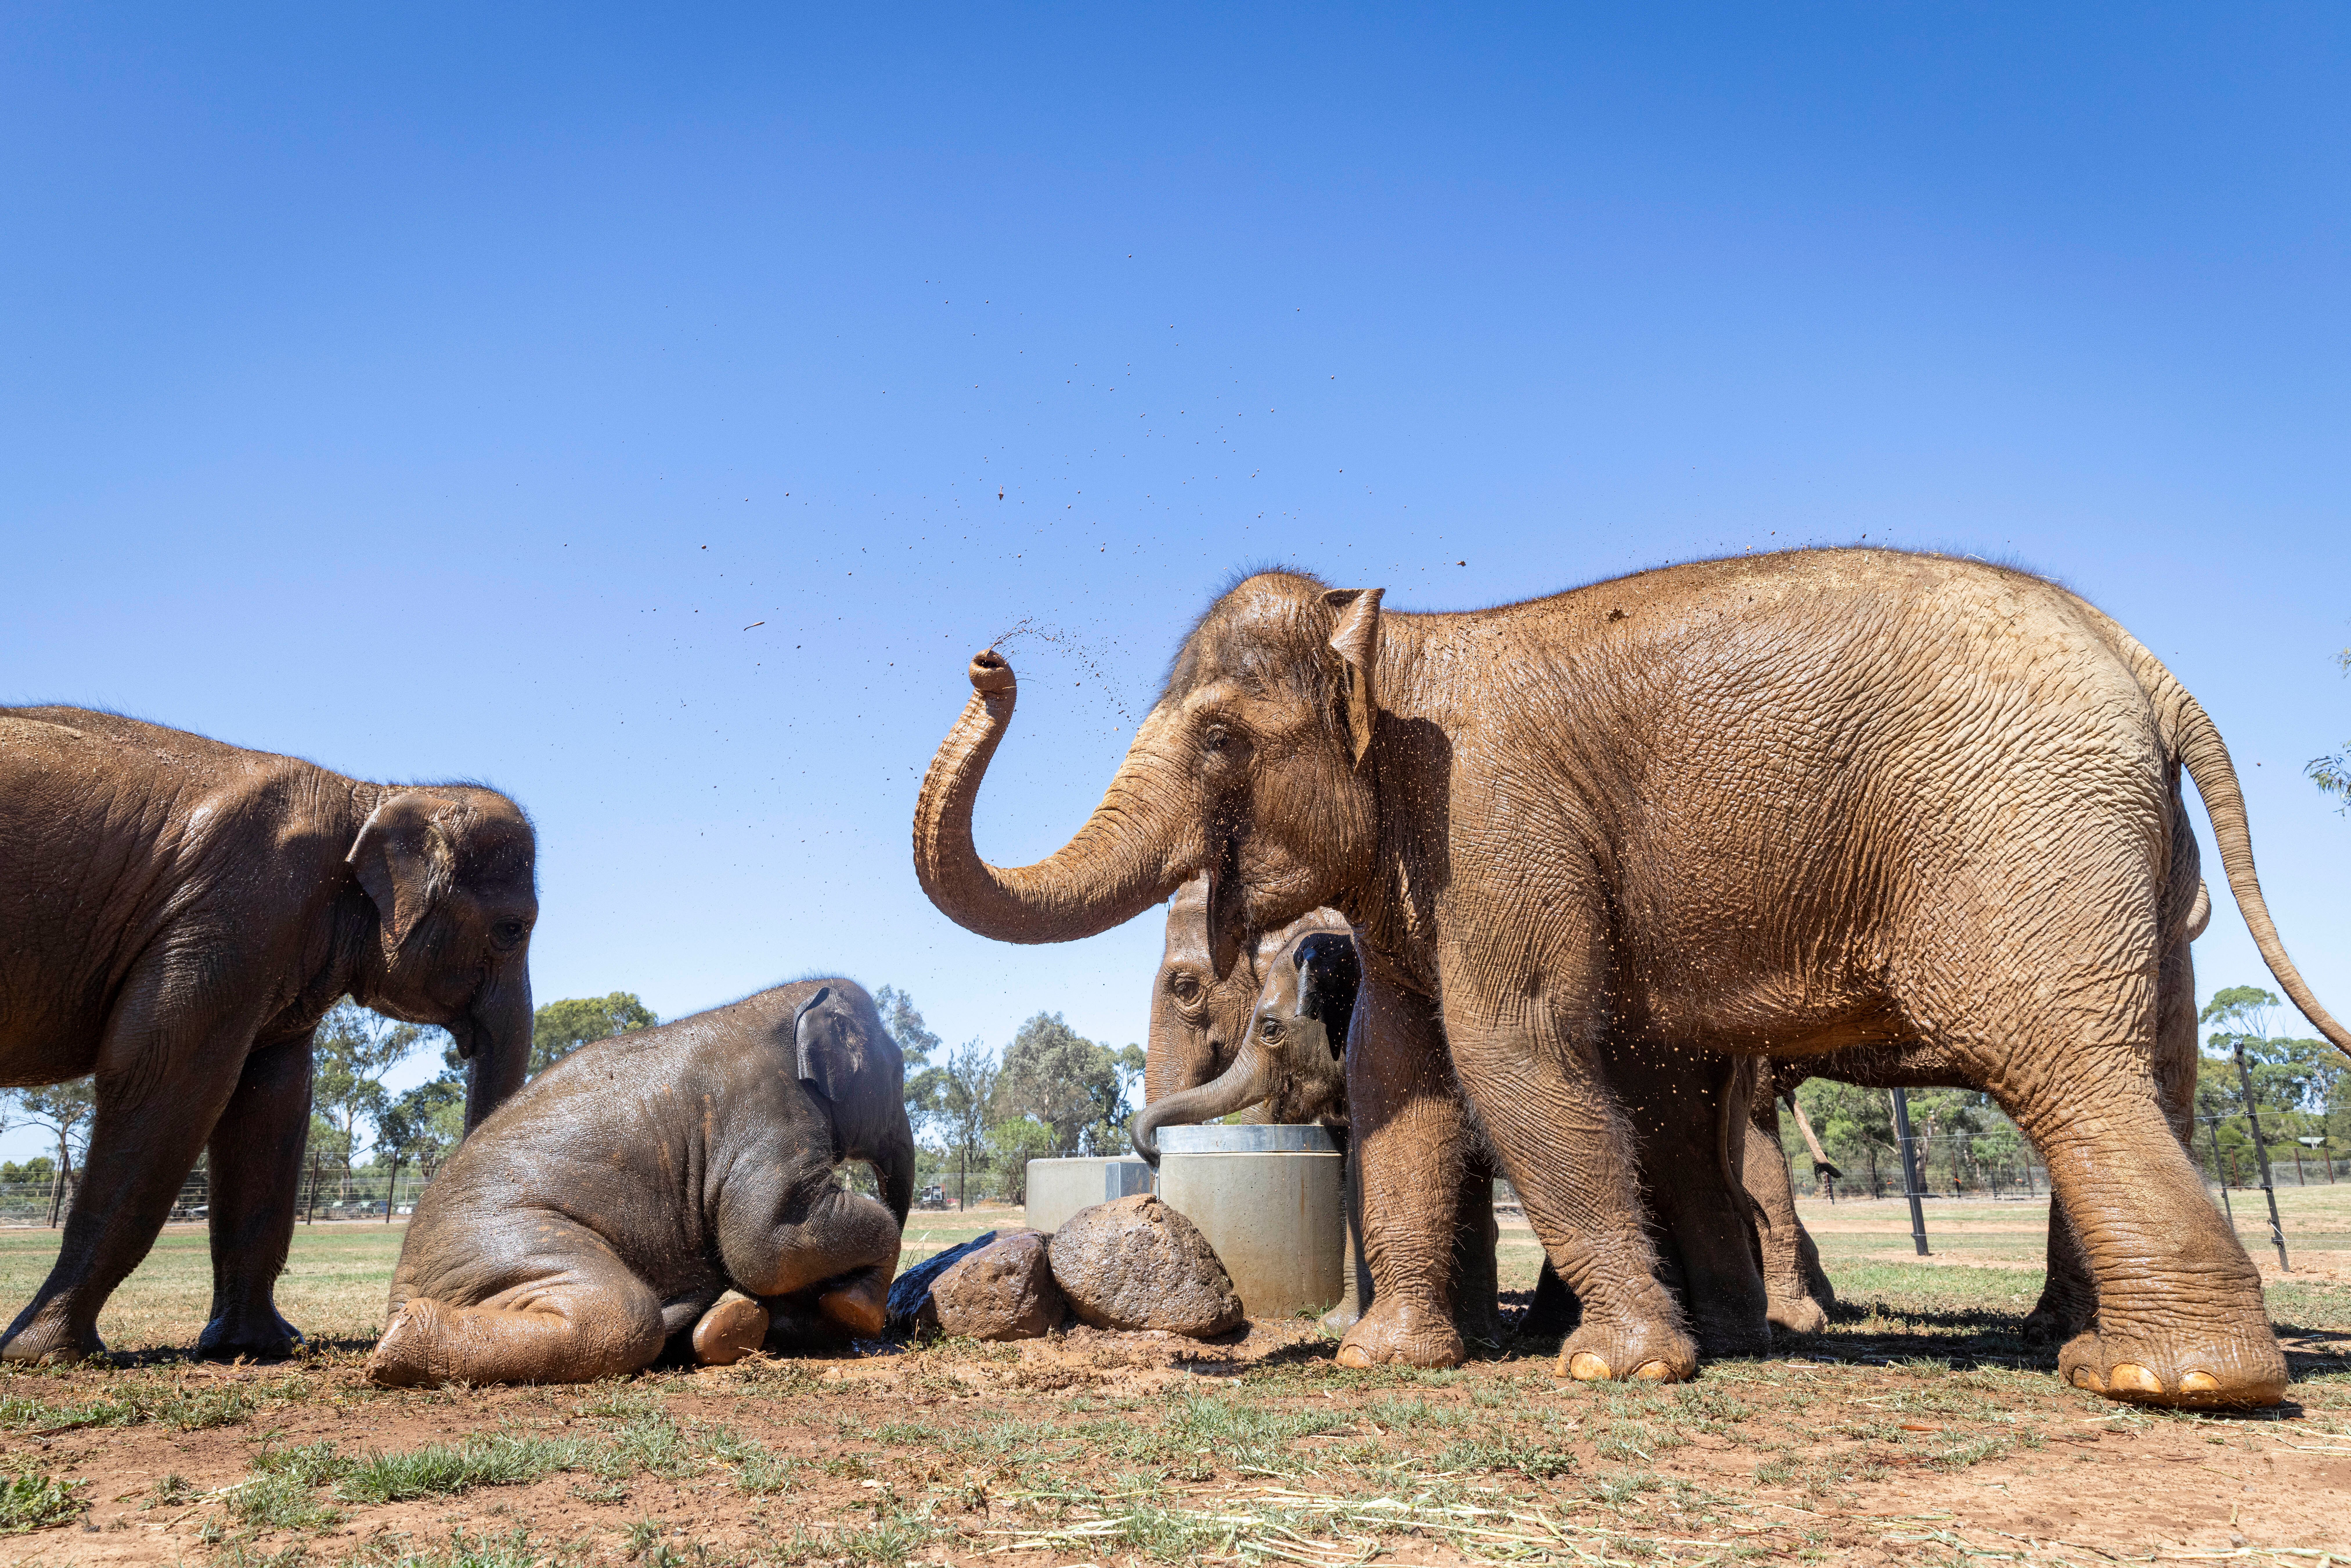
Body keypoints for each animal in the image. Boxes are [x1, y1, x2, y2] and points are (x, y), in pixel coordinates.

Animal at [0, 708, 538, 1364]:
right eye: (512, 930)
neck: (366, 796)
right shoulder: (234, 913)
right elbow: (165, 1078)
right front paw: (44, 1351)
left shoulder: (268, 942)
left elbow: (270, 1107)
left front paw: (259, 1345)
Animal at [367, 979, 914, 1386]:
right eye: (901, 1069)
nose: (872, 1319)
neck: (782, 1001)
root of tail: (401, 1284)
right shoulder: (769, 1114)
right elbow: (770, 1242)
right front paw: (854, 1310)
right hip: (498, 1239)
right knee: (626, 1313)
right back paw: (400, 1341)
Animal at [911, 549, 2350, 1407]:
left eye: (1217, 737)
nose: (992, 658)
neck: (1409, 637)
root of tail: (2150, 668)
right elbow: (1405, 1079)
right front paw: (1391, 1357)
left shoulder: (1498, 829)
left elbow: (1515, 1058)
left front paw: (1616, 1367)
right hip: (2127, 869)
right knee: (2149, 1073)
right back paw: (2095, 1347)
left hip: (2017, 833)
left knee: (2063, 1065)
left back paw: (2170, 1379)